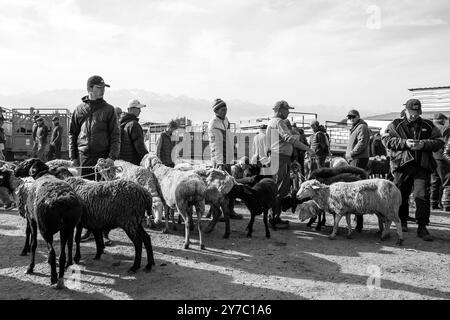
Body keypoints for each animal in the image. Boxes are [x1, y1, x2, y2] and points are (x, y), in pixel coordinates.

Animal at [7, 159, 83, 288]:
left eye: (26, 163)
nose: (15, 170)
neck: (43, 175)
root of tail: (63, 201)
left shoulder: (32, 219)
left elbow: (33, 244)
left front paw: (30, 267)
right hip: (67, 228)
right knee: (62, 254)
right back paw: (60, 279)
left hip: (45, 229)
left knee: (52, 253)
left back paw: (53, 278)